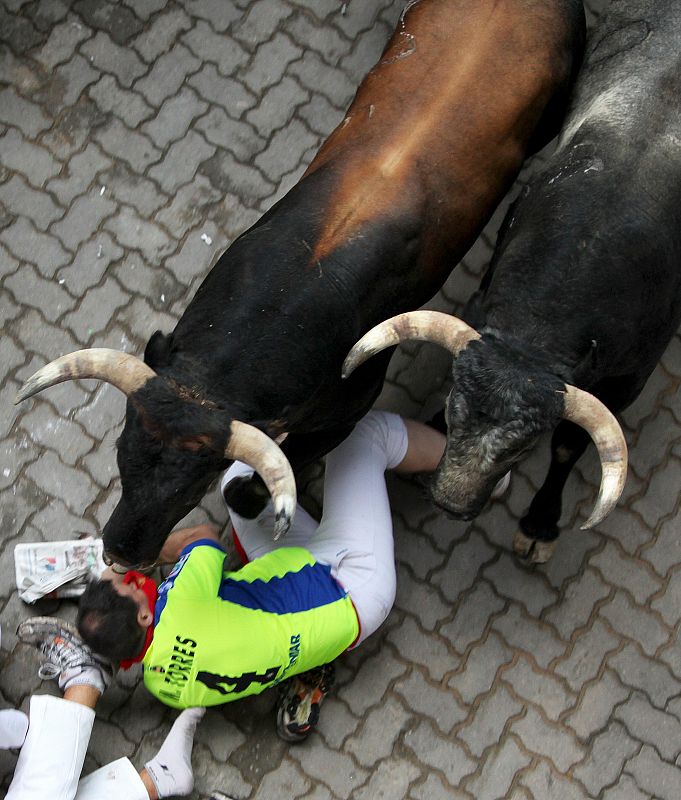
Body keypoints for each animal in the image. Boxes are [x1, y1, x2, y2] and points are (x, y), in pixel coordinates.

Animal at [346, 0, 680, 564]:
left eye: (524, 445)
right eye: (454, 410)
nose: (450, 503)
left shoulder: (629, 377)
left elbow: (568, 445)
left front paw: (540, 524)